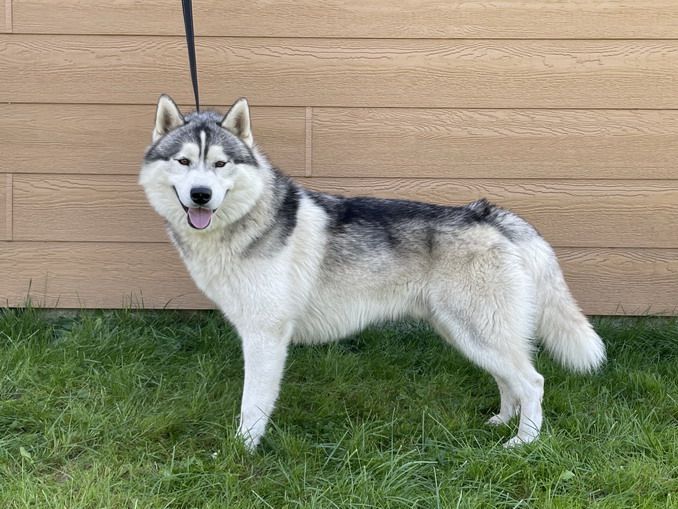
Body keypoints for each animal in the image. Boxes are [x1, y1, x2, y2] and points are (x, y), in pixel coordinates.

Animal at [141, 95, 608, 448]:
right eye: (184, 162)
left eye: (221, 165)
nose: (201, 195)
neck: (246, 222)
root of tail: (490, 215)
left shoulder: (265, 336)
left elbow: (252, 404)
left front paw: (242, 449)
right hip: (468, 334)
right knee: (510, 380)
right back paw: (502, 421)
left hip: (478, 330)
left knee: (533, 381)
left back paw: (523, 441)